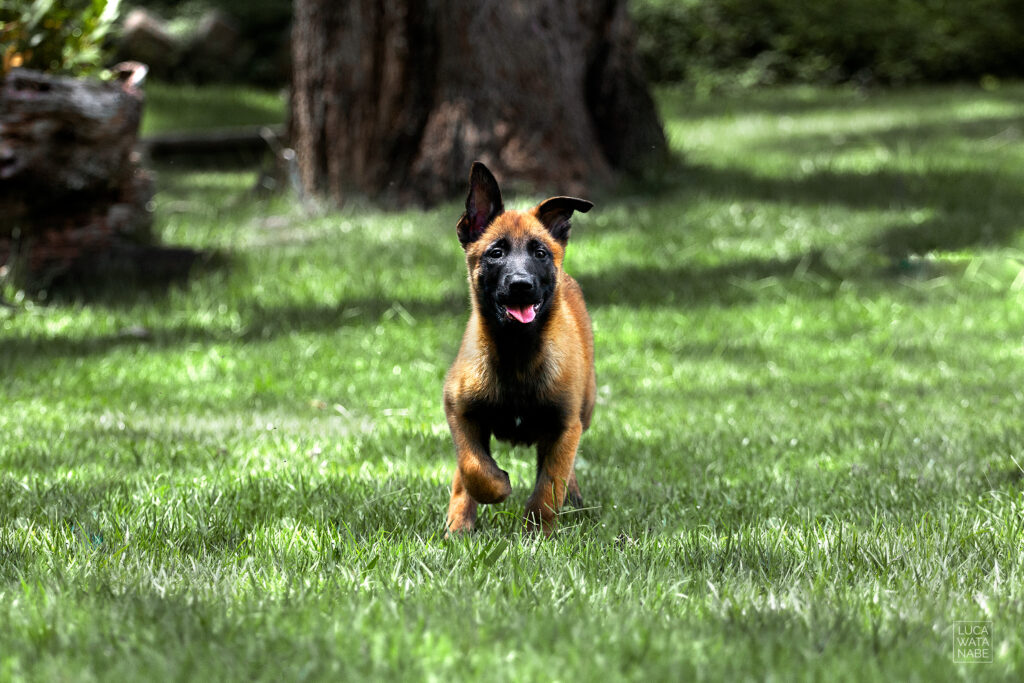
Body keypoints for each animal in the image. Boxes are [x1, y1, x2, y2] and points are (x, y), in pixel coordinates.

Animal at [442, 162, 598, 536]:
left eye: (540, 253)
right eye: (496, 253)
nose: (521, 285)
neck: (517, 353)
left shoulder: (564, 425)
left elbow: (550, 484)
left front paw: (536, 532)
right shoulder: (459, 410)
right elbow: (472, 466)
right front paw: (497, 486)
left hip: (585, 409)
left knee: (564, 469)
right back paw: (459, 522)